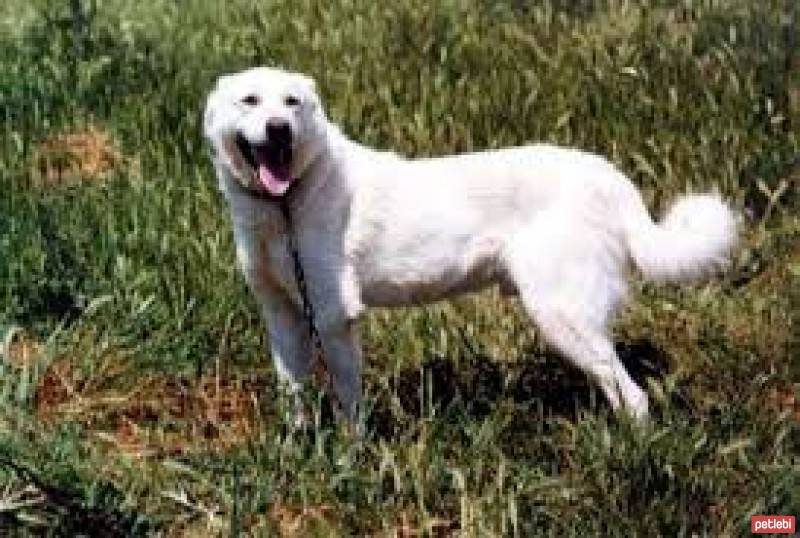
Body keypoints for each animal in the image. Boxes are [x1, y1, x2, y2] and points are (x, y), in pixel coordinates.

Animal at [202, 66, 736, 418]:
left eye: (292, 103)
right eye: (250, 101)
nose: (278, 129)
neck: (286, 203)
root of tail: (610, 176)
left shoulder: (335, 318)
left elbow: (349, 403)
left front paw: (351, 464)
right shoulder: (283, 316)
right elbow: (292, 395)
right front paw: (299, 456)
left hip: (562, 314)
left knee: (633, 396)